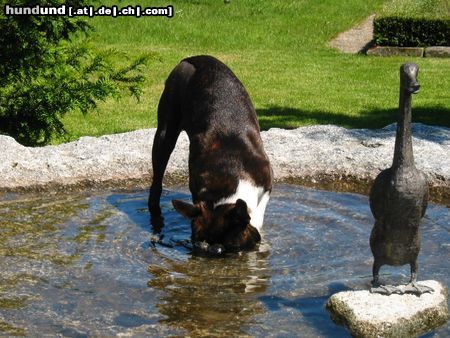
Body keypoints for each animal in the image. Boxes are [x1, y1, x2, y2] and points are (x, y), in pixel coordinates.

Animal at [149, 55, 272, 251]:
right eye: (196, 240)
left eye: (232, 247)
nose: (213, 249)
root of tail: (195, 58)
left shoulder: (266, 184)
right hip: (165, 132)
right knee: (157, 178)